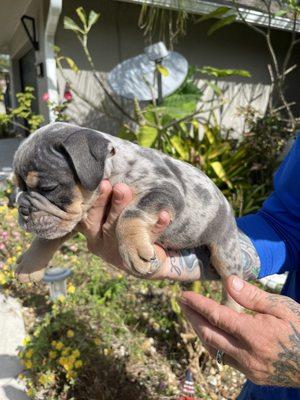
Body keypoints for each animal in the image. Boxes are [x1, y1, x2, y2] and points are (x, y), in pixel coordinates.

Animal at [14, 122, 243, 310]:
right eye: (19, 186)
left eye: (48, 188)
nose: (22, 208)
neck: (115, 170)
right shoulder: (69, 219)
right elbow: (45, 239)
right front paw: (30, 264)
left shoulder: (165, 190)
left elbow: (131, 213)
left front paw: (134, 249)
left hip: (226, 252)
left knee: (233, 281)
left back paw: (229, 310)